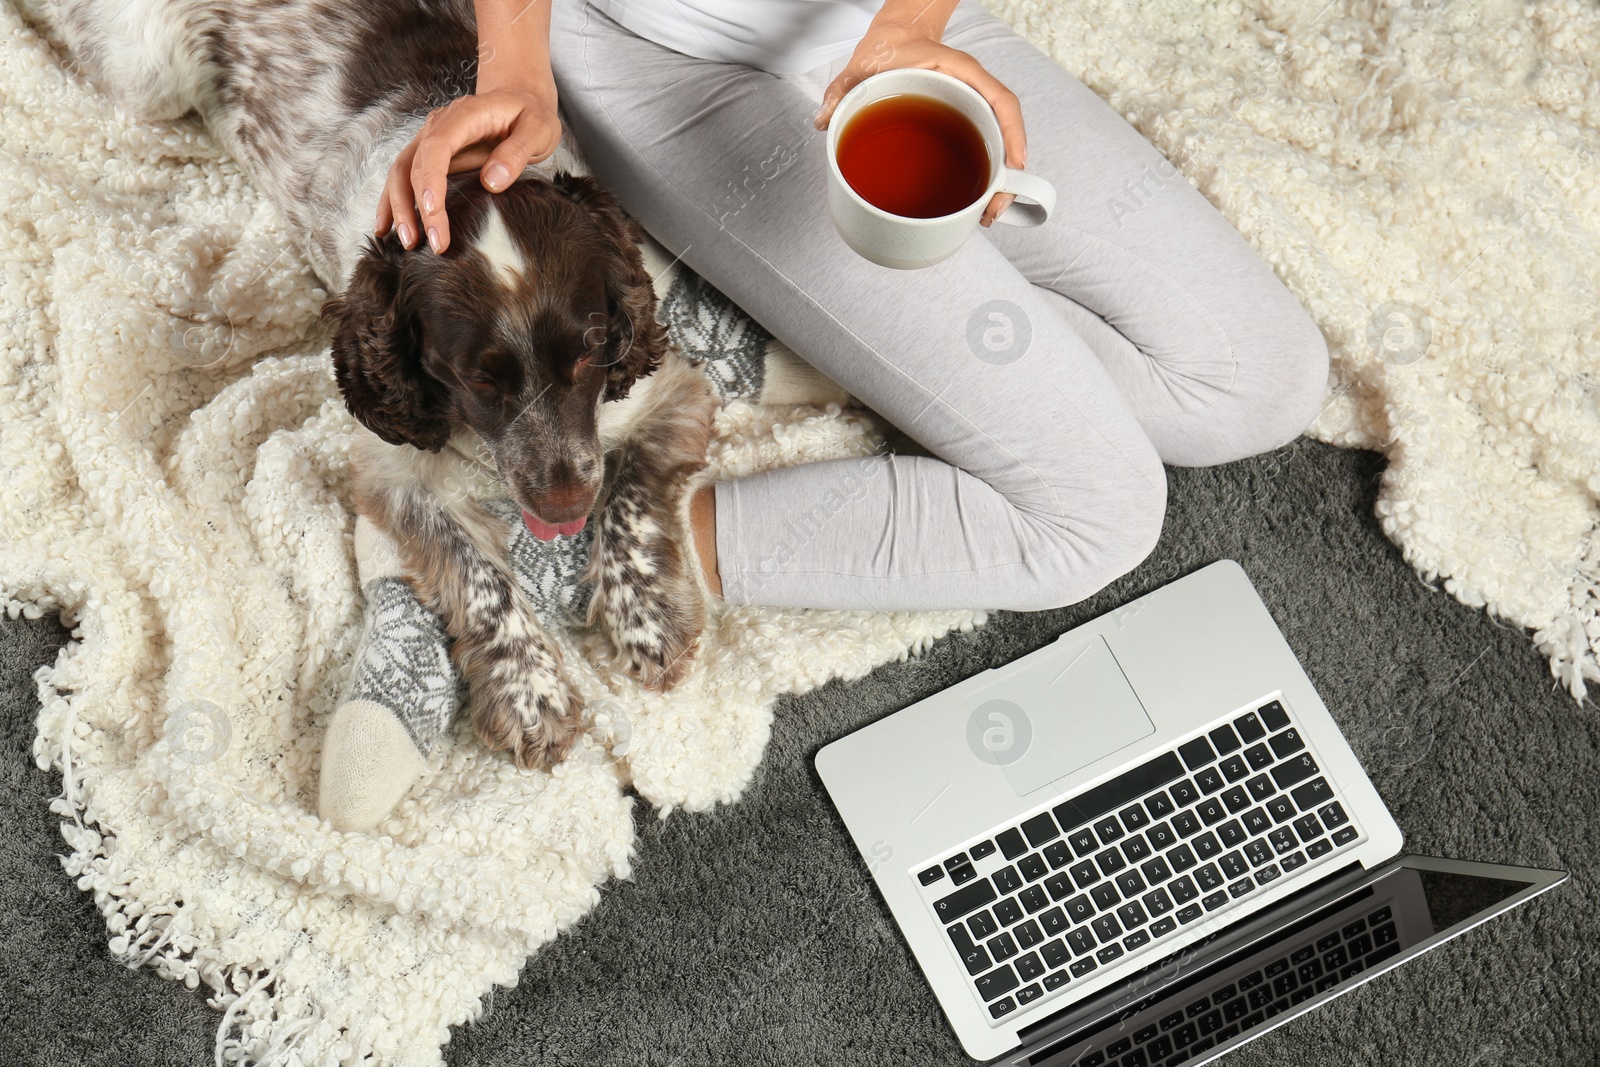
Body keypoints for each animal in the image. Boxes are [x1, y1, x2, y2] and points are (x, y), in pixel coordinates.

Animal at [25, 0, 851, 767]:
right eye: (476, 380)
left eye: (590, 354)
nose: (563, 507)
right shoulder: (393, 467)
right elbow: (478, 575)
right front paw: (528, 691)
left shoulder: (663, 395)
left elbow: (631, 499)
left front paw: (644, 616)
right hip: (146, 73)